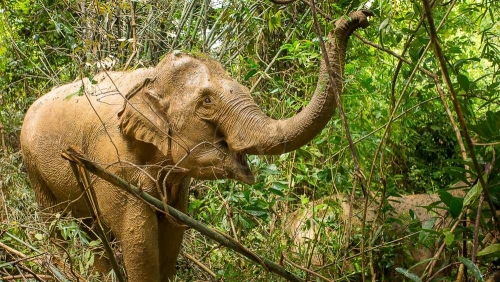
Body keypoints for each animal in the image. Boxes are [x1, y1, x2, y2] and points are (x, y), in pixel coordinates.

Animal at [19, 9, 372, 280]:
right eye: (207, 102)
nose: (359, 17)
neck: (150, 77)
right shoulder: (112, 161)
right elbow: (138, 240)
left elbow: (172, 234)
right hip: (33, 167)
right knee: (57, 225)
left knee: (92, 232)